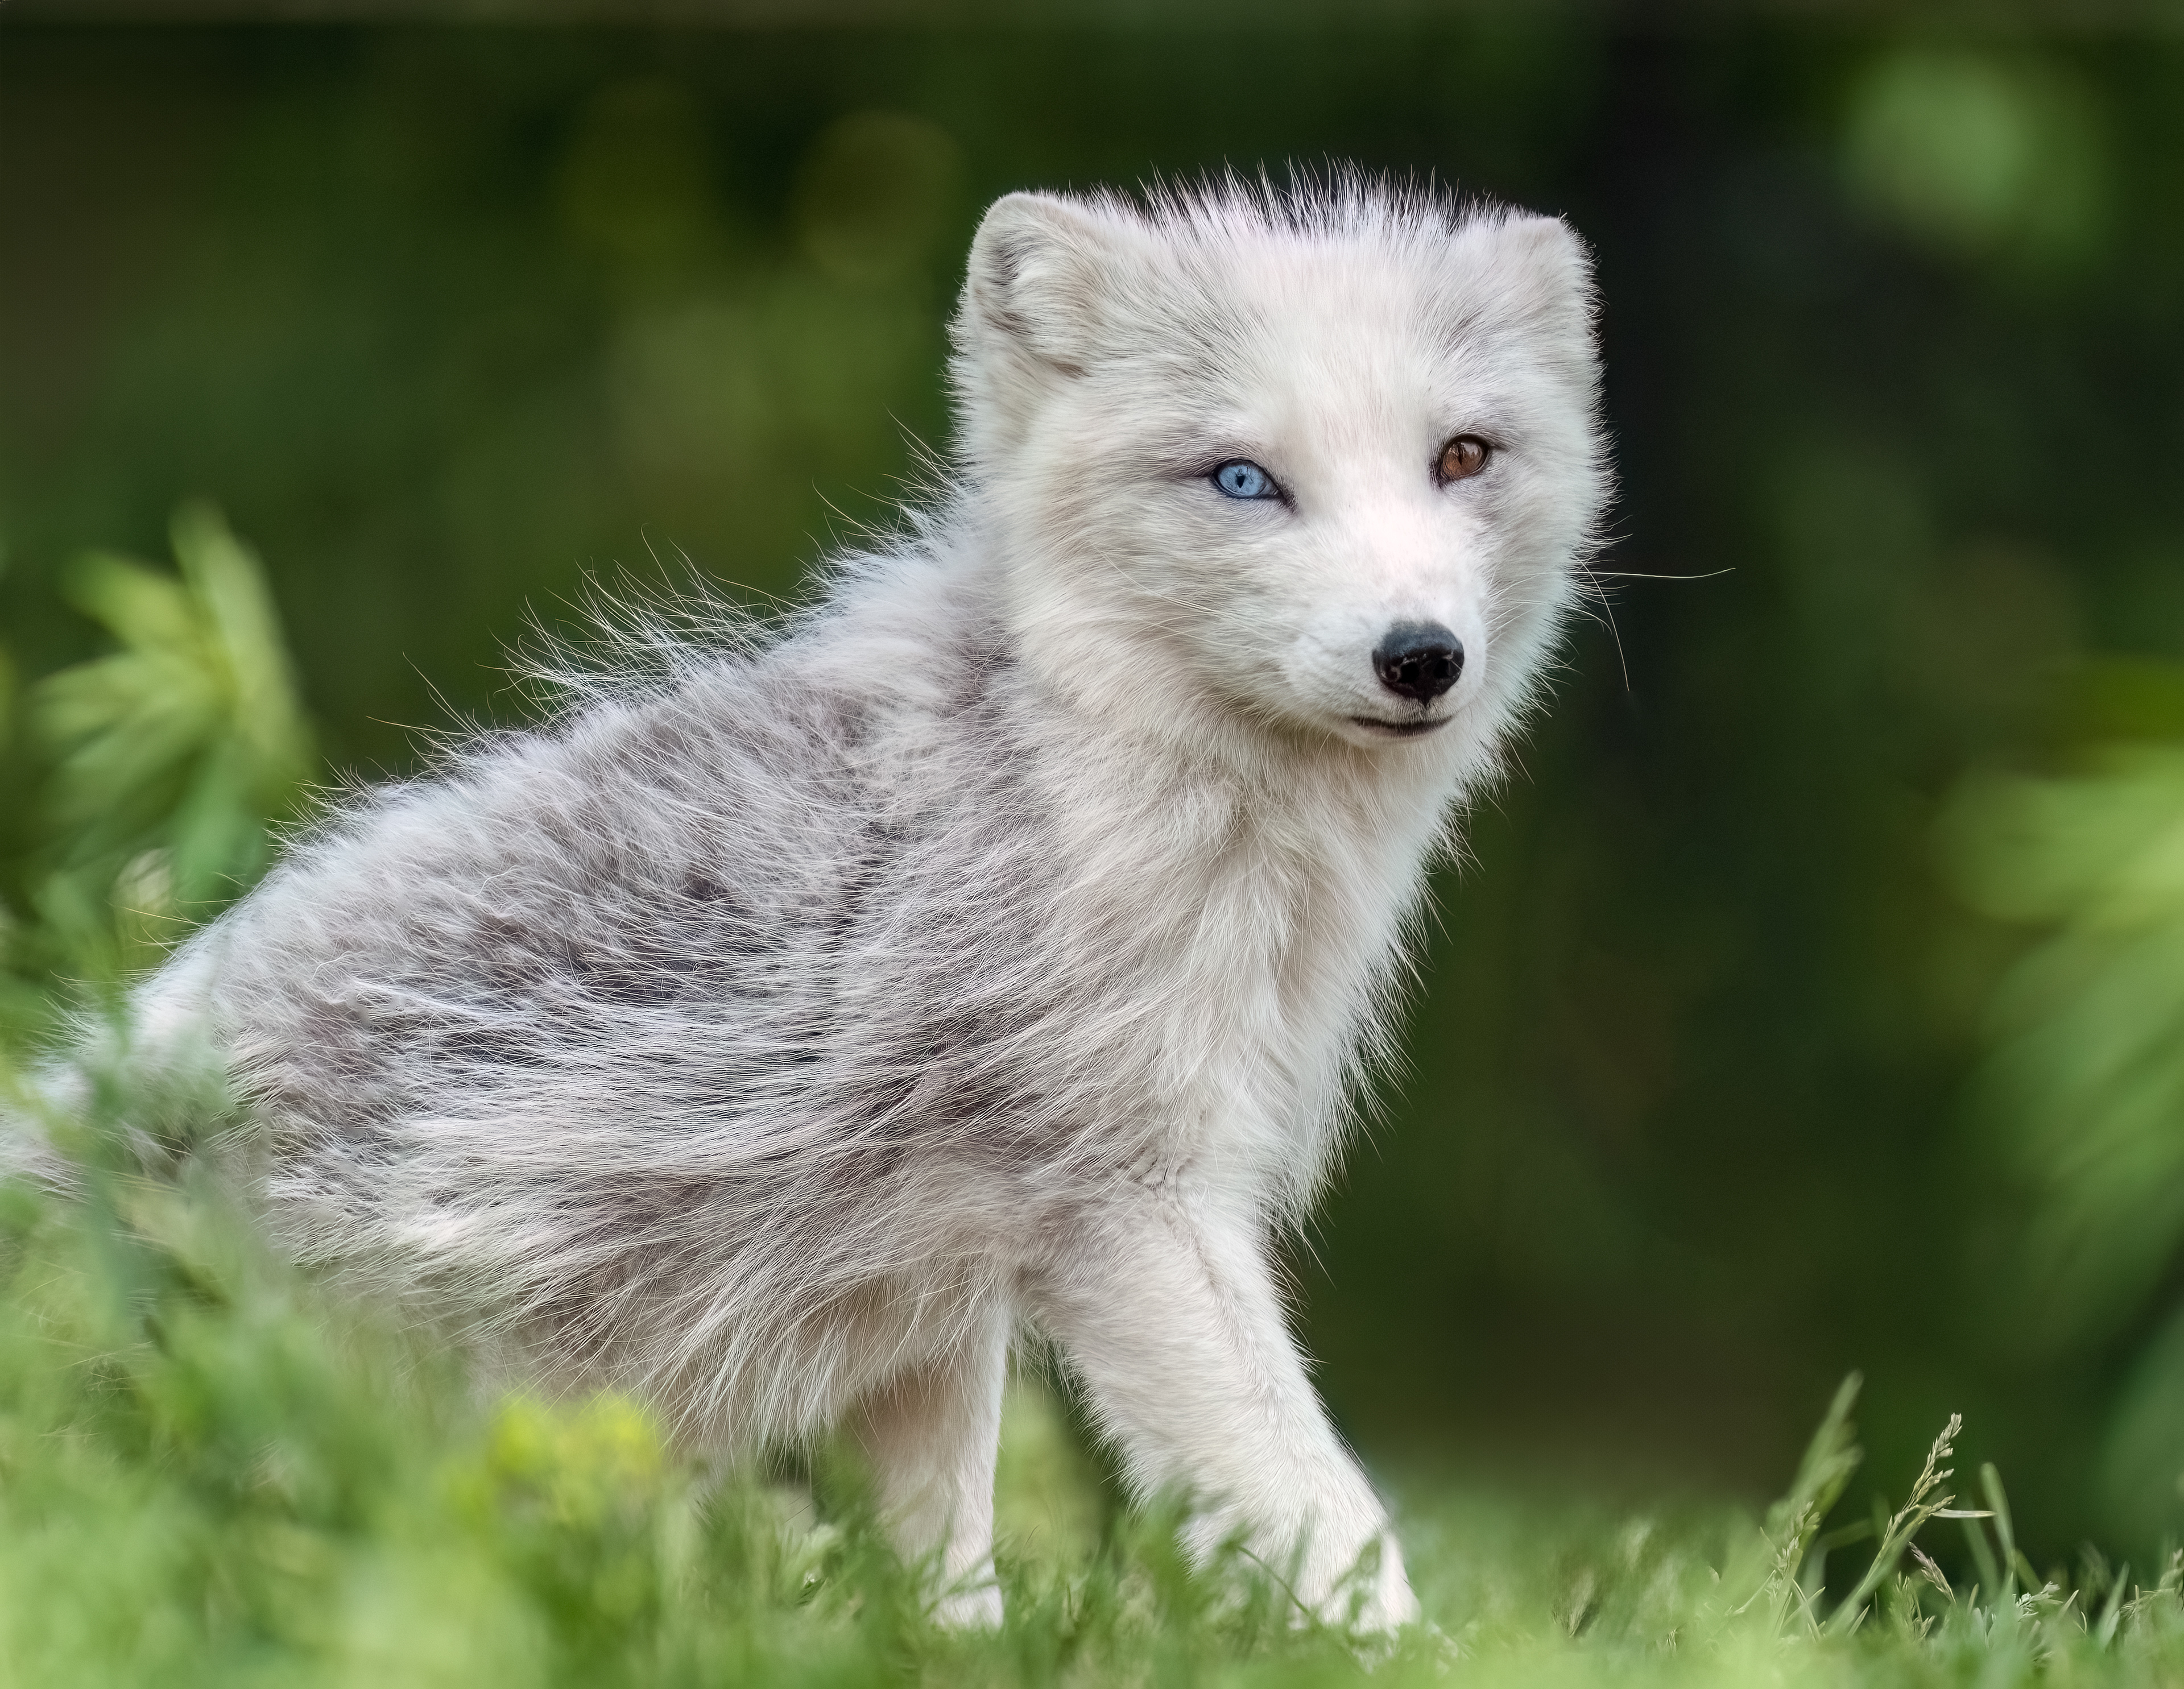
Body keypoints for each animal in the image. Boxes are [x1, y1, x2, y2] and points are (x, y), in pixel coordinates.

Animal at [46, 176, 1607, 1629]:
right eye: (1241, 481)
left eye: (1462, 457)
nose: (1420, 655)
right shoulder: (1126, 1204)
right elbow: (1318, 1509)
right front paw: (1411, 1654)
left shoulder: (932, 1288)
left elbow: (945, 1569)